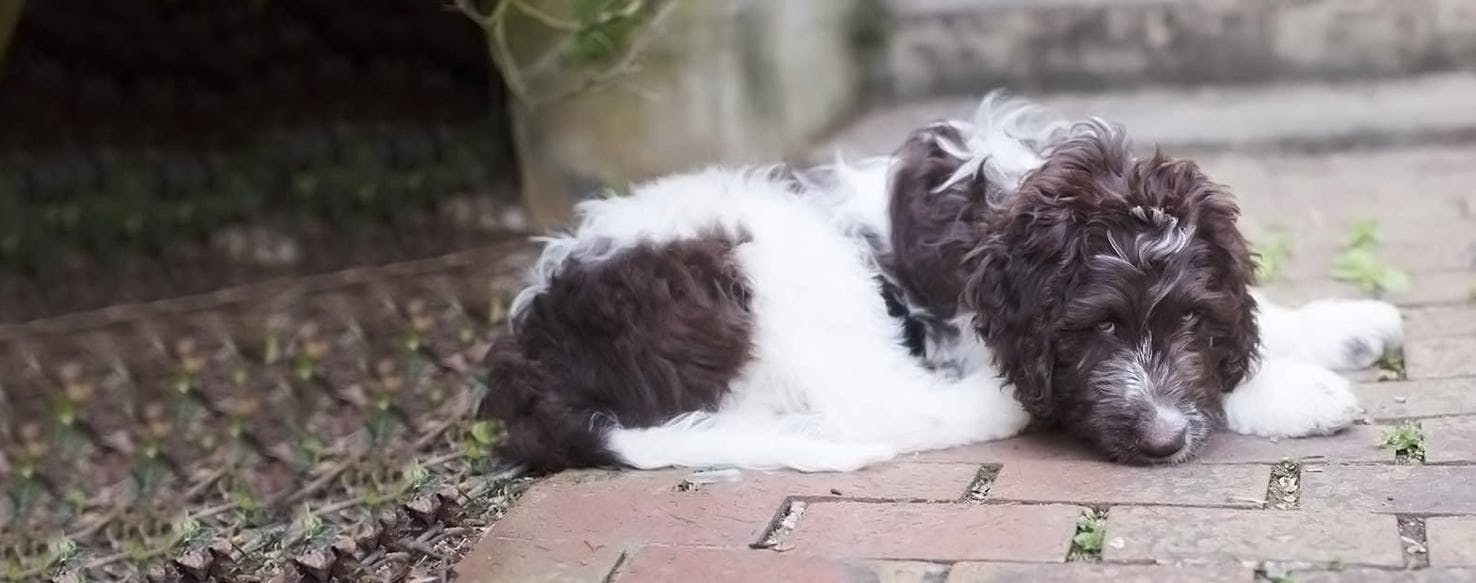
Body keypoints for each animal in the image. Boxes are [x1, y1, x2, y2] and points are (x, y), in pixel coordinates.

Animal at [478, 92, 1399, 475]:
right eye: (1098, 327)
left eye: (1190, 322)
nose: (1165, 439)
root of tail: (529, 354)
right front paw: (1297, 391)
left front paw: (1344, 325)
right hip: (776, 255)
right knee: (874, 403)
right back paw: (993, 405)